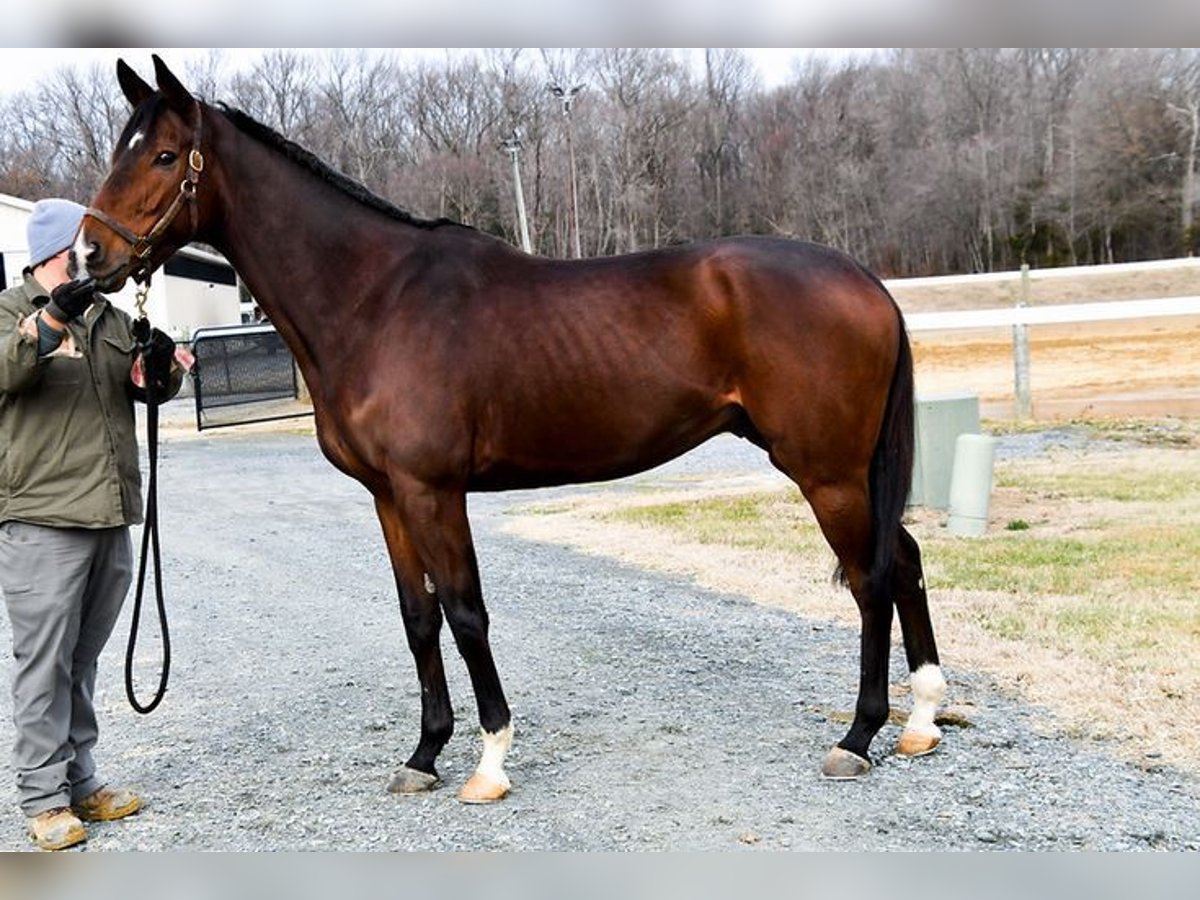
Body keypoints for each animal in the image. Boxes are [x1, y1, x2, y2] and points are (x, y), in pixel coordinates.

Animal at [82, 54, 945, 801]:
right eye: (119, 151)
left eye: (164, 156)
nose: (89, 258)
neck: (375, 300)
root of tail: (865, 281)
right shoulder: (388, 497)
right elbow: (419, 619)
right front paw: (423, 754)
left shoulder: (433, 491)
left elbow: (467, 615)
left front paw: (489, 760)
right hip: (845, 472)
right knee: (903, 561)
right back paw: (924, 720)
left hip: (826, 472)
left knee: (871, 578)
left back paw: (859, 736)